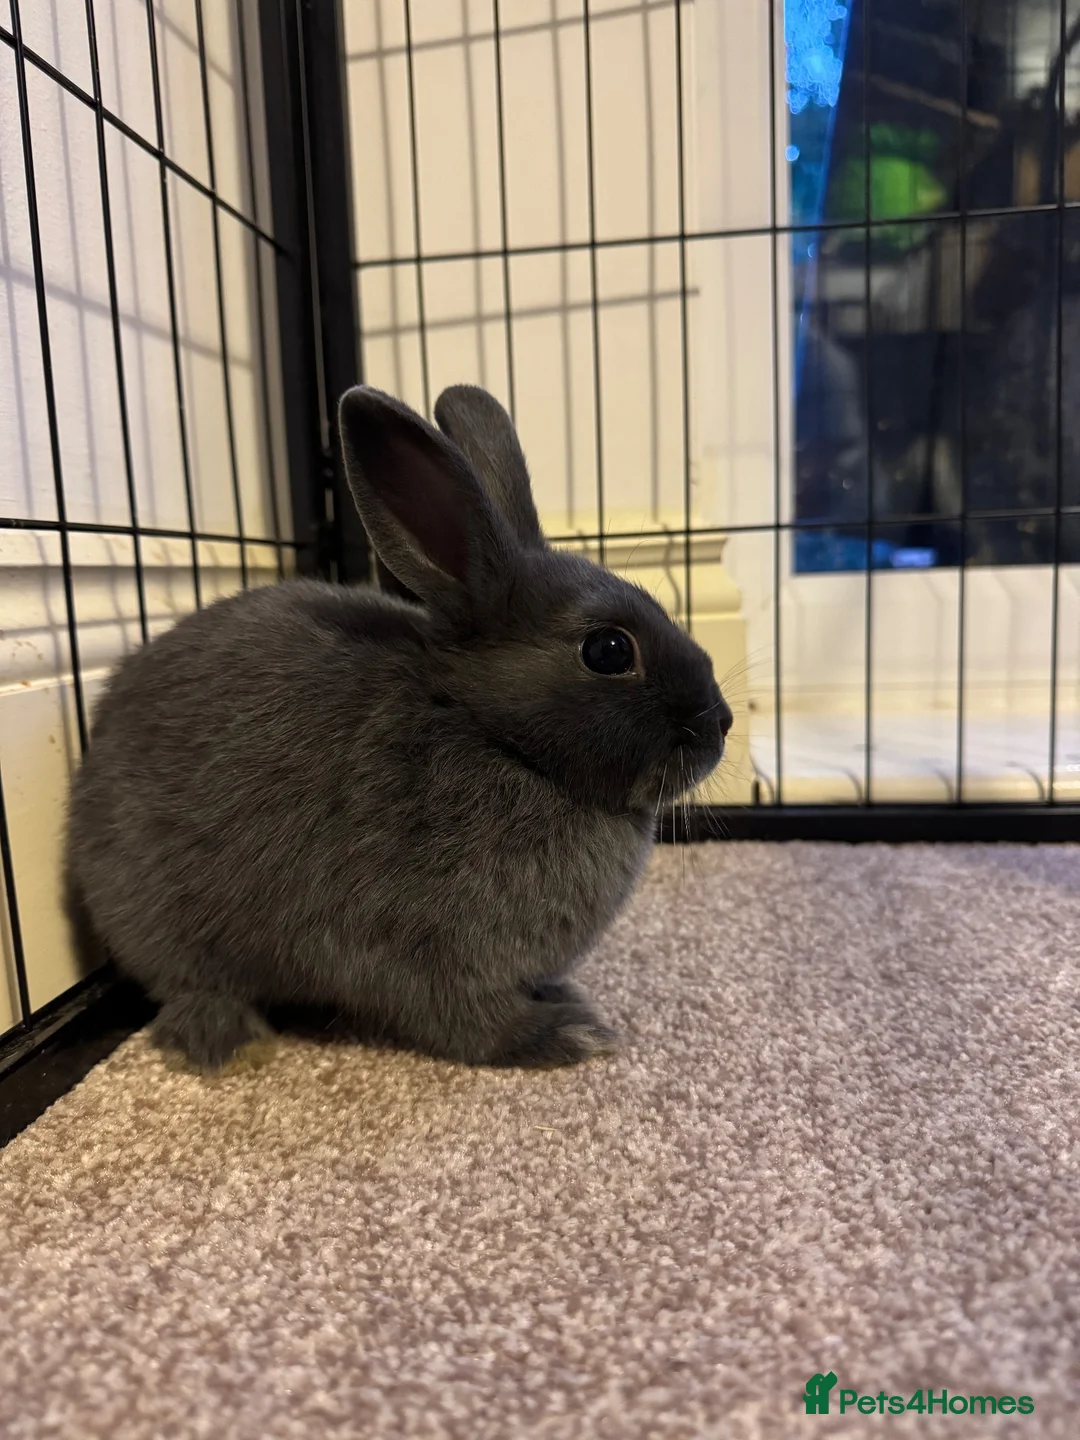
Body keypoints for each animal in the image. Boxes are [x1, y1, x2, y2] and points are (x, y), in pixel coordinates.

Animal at [65, 384, 732, 1071]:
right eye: (608, 650)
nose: (721, 723)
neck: (495, 736)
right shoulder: (414, 951)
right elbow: (464, 1021)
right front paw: (564, 1034)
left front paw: (567, 998)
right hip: (159, 921)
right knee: (185, 986)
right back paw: (226, 1041)